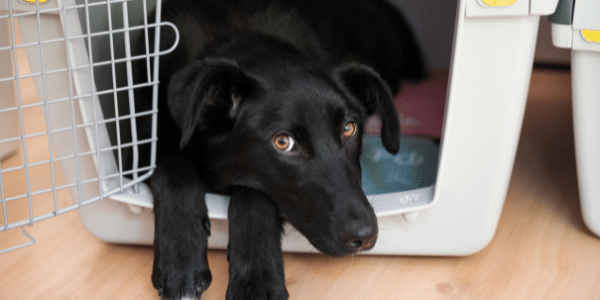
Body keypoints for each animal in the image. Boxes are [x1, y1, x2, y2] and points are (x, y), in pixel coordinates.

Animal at [135, 1, 424, 298]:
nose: (365, 236)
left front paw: (257, 281)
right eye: (283, 142)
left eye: (349, 128)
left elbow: (253, 195)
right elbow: (174, 170)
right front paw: (180, 258)